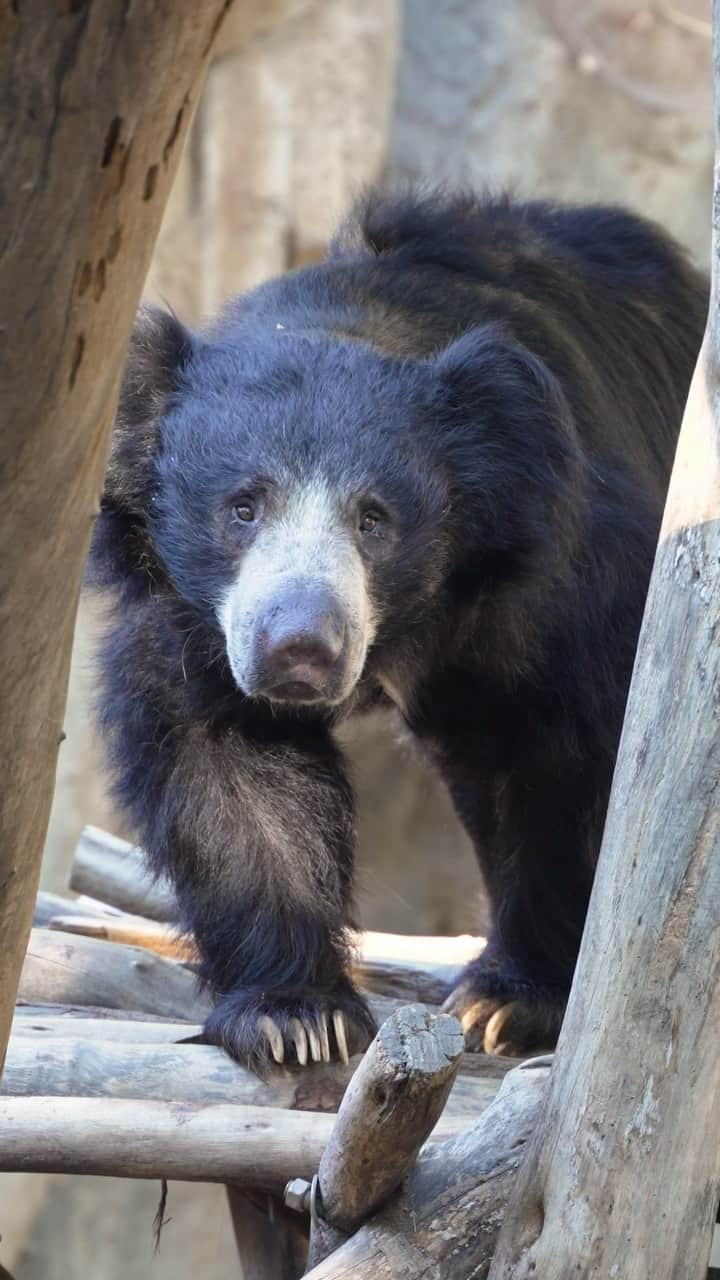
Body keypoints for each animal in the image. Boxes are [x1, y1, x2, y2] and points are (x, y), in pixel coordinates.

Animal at [87, 189, 702, 1070]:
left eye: (374, 520)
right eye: (243, 508)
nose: (300, 649)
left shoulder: (560, 581)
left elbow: (571, 759)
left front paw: (513, 1002)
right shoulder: (195, 621)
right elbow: (231, 769)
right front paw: (294, 1017)